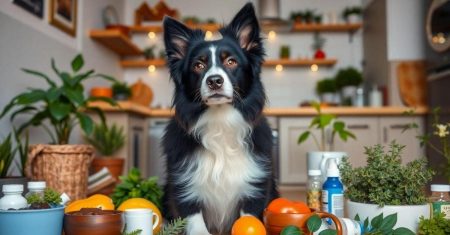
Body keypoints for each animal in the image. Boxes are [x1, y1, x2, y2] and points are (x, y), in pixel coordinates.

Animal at [162, 2, 278, 234]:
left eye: (231, 61)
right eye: (198, 65)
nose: (214, 81)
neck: (220, 121)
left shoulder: (255, 186)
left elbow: (249, 219)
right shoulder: (184, 188)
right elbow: (196, 223)